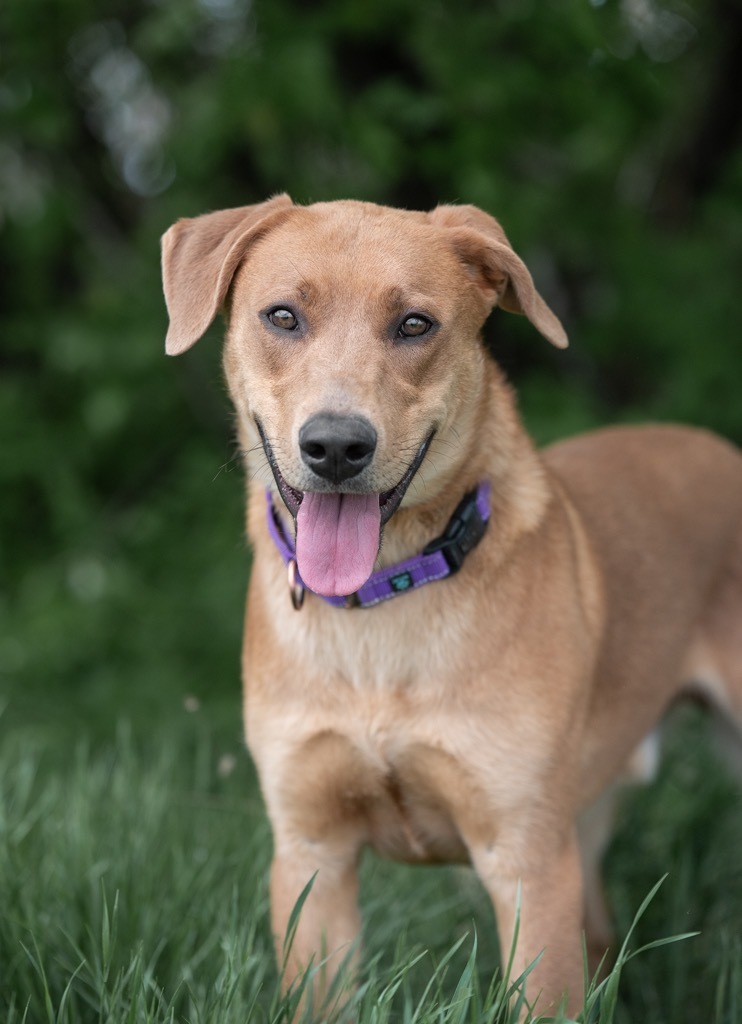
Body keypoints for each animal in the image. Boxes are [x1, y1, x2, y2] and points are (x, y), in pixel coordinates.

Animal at [157, 193, 740, 1015]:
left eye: (414, 324)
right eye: (282, 317)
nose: (336, 447)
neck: (380, 606)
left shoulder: (527, 863)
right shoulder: (312, 856)